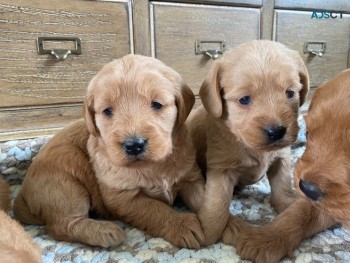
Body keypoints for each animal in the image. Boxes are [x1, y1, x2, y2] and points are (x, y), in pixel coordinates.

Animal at [13, 55, 205, 250]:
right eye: (107, 111)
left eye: (157, 104)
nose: (134, 145)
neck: (153, 166)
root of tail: (23, 192)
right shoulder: (123, 198)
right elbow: (156, 210)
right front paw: (181, 224)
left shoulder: (191, 177)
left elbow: (207, 199)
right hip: (66, 182)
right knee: (61, 225)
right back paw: (104, 232)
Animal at [189, 39, 308, 245]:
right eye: (244, 99)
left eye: (290, 93)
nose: (277, 131)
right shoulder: (221, 168)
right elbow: (217, 203)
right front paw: (208, 232)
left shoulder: (281, 158)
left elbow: (283, 185)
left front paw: (288, 206)